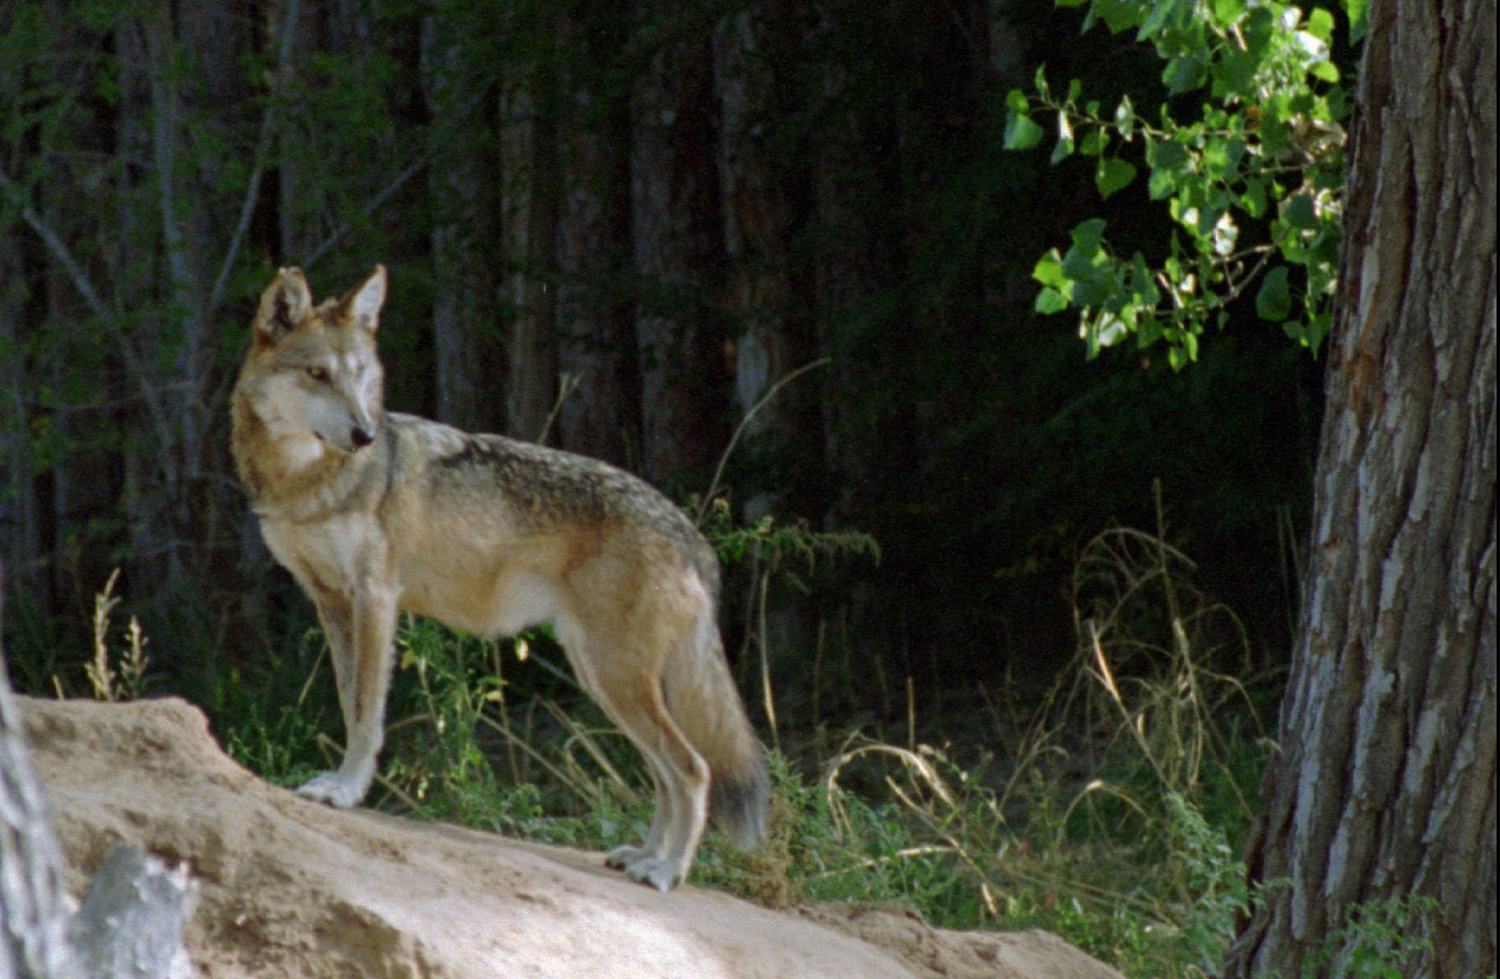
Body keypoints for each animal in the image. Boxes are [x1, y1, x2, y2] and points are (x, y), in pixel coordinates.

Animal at [230, 265, 767, 890]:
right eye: (318, 374)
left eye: (360, 375)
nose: (365, 433)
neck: (304, 483)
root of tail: (691, 536)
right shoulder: (332, 604)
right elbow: (349, 702)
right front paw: (341, 783)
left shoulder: (375, 600)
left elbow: (366, 715)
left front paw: (345, 791)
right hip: (603, 678)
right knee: (664, 773)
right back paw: (642, 857)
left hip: (617, 679)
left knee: (694, 769)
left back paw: (667, 872)